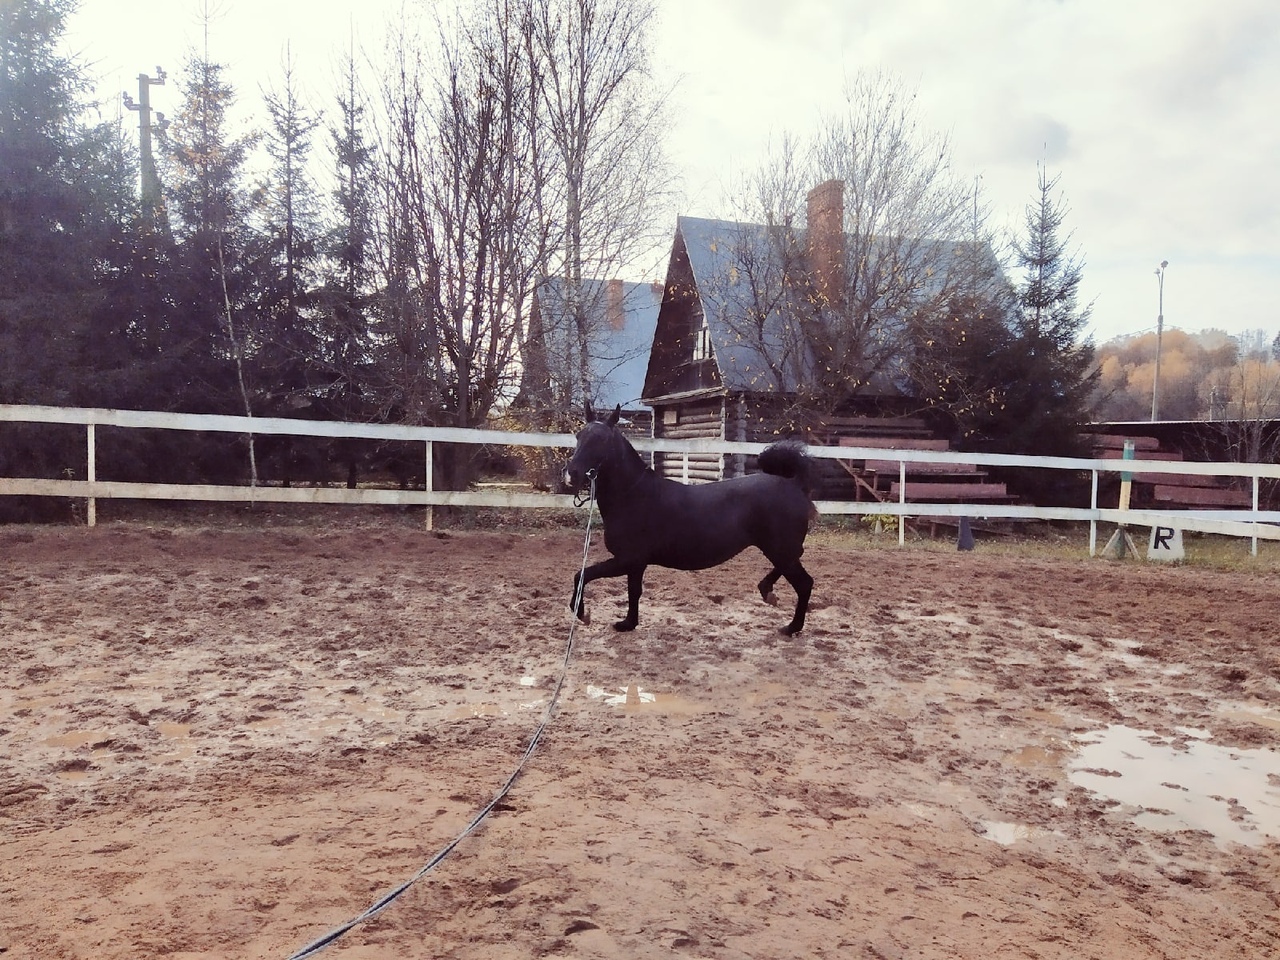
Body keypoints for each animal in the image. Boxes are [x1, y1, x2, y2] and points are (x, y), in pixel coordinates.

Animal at [562, 403, 815, 635]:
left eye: (602, 439)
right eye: (578, 436)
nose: (570, 474)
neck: (632, 495)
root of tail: (795, 484)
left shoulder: (627, 559)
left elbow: (581, 575)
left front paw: (581, 612)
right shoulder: (635, 564)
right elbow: (633, 592)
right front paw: (628, 624)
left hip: (779, 549)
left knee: (804, 583)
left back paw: (791, 627)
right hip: (779, 549)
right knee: (797, 563)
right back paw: (767, 591)